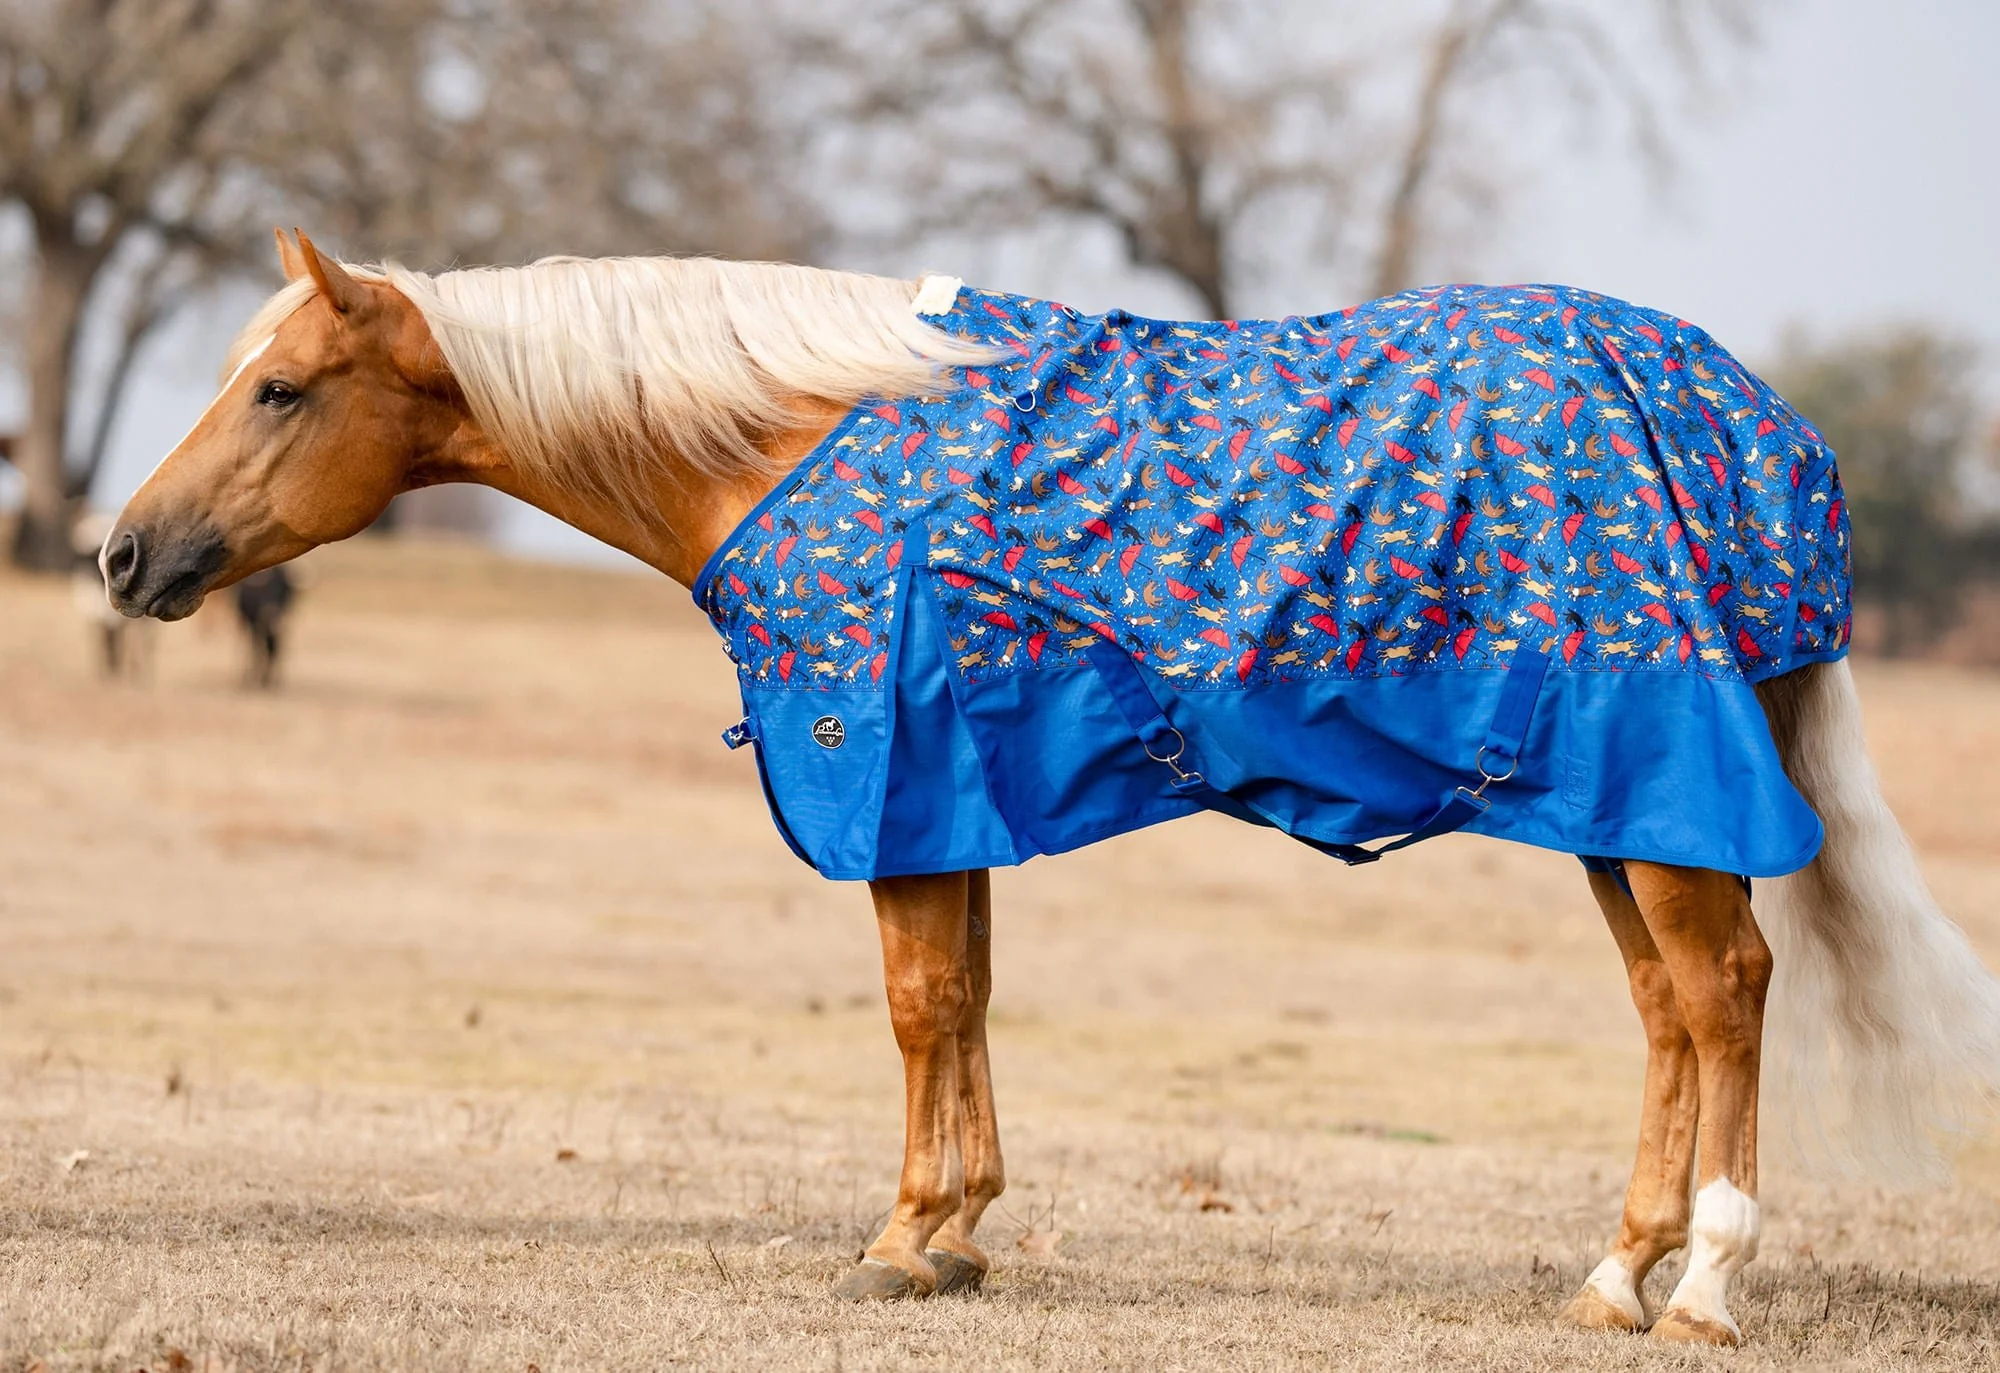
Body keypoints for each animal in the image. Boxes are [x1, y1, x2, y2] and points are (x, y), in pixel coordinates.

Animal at [100, 230, 2000, 1347]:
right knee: (1673, 1011)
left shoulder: (893, 773)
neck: (800, 433)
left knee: (1729, 992)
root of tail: (1757, 421)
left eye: (280, 386)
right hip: (1610, 801)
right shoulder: (959, 791)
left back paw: (1711, 1285)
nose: (123, 553)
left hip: (1661, 777)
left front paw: (901, 1240)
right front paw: (958, 1230)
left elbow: (917, 1001)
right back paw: (1615, 1274)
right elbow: (968, 997)